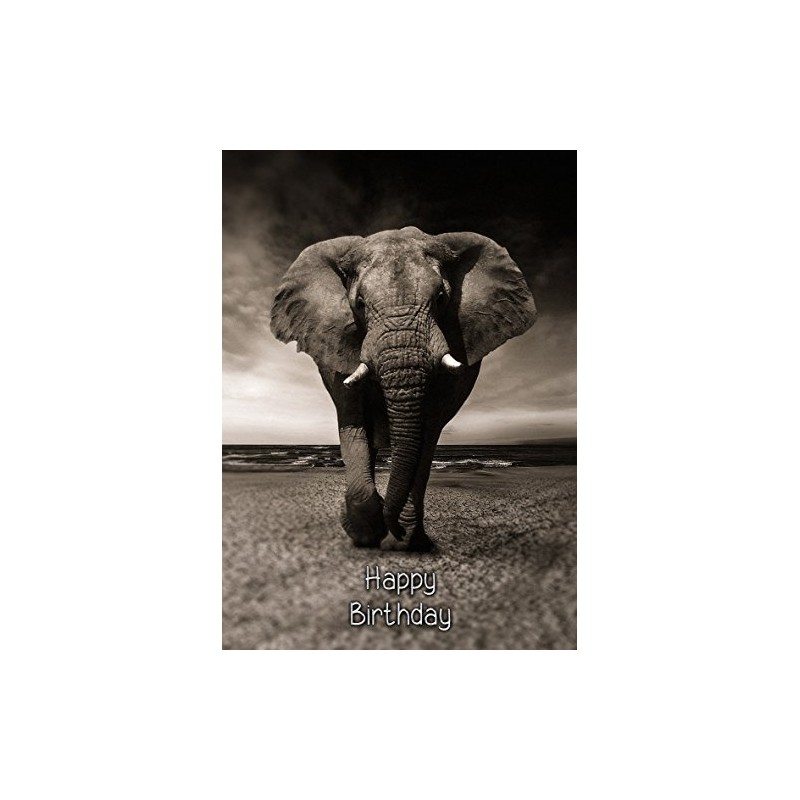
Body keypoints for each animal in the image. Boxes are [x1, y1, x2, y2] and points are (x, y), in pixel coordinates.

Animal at [270, 226, 537, 551]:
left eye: (441, 298)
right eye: (359, 304)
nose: (393, 528)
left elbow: (427, 431)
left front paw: (404, 539)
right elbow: (353, 420)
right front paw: (366, 533)